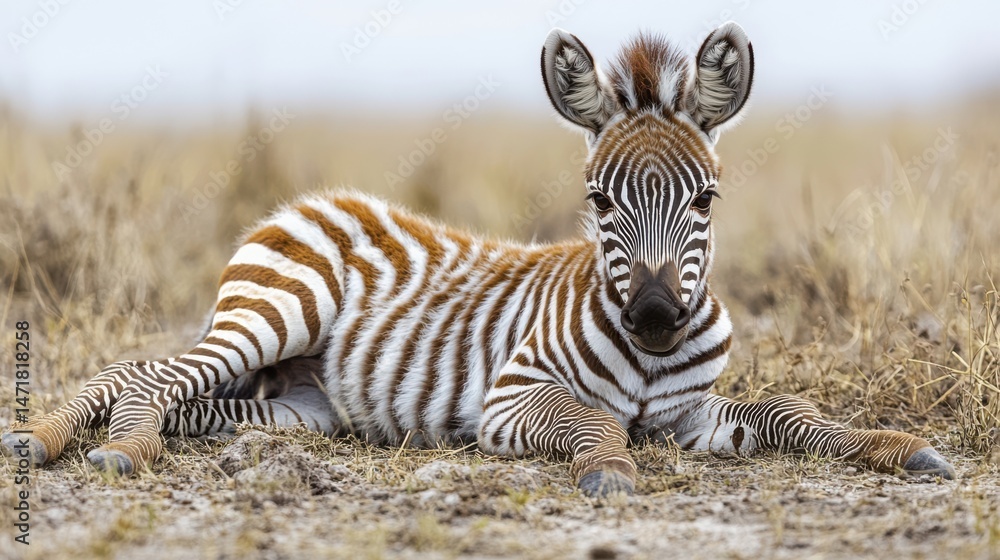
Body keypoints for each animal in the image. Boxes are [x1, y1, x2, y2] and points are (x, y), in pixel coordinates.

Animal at [2, 22, 955, 497]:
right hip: (274, 316)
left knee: (178, 395)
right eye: (599, 199)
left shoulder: (693, 416)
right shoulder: (510, 395)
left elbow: (793, 411)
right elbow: (596, 423)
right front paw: (609, 470)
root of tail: (311, 201)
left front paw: (898, 447)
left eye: (706, 200)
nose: (653, 317)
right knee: (142, 373)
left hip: (299, 406)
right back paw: (89, 446)